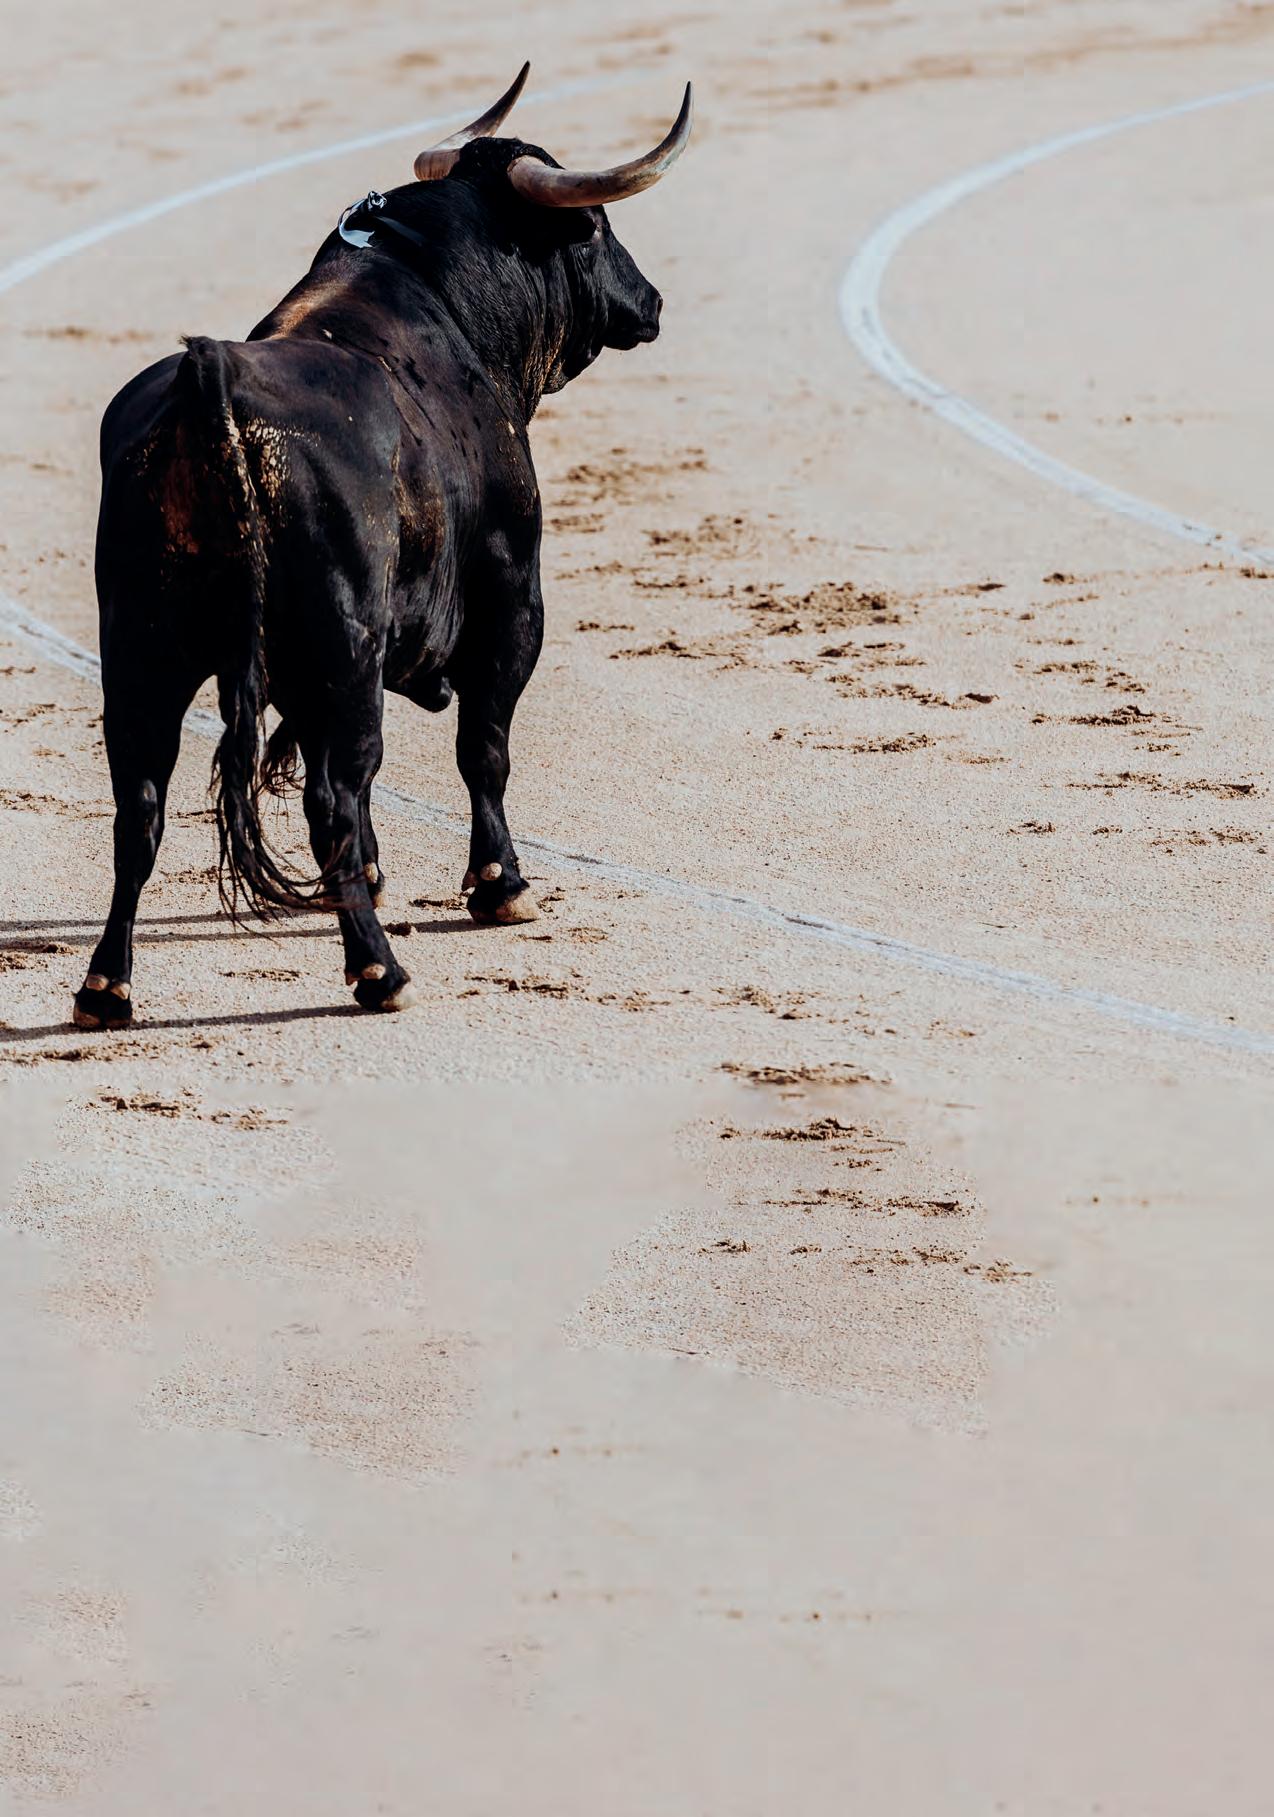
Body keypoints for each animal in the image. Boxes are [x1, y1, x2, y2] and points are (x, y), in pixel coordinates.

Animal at [72, 66, 692, 1028]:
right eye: (593, 226)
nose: (651, 302)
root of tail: (214, 378)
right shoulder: (512, 599)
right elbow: (482, 747)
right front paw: (500, 885)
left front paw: (370, 874)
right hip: (343, 648)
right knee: (332, 791)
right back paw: (378, 971)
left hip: (142, 650)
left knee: (138, 805)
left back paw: (107, 987)